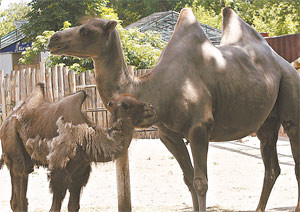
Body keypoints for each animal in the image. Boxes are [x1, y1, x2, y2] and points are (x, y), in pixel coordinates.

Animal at [0, 83, 155, 212]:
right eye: (128, 105)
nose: (151, 107)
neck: (85, 138)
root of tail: (8, 118)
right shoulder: (59, 170)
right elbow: (54, 208)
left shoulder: (80, 173)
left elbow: (73, 206)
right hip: (13, 147)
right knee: (17, 192)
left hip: (27, 161)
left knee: (23, 196)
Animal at [47, 7, 300, 211]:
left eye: (86, 31)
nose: (53, 39)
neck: (155, 87)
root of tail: (284, 62)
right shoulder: (168, 134)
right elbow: (188, 180)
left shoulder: (199, 128)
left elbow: (200, 182)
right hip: (267, 121)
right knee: (272, 167)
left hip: (291, 99)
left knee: (294, 157)